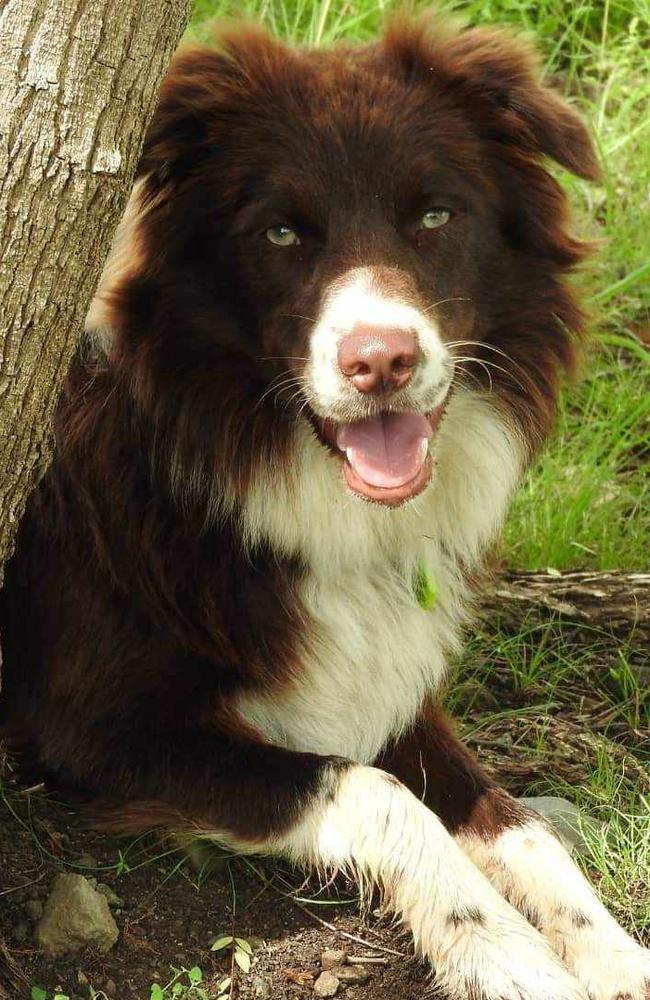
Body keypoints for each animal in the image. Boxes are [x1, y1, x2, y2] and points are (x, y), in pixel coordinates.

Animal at [1, 17, 648, 1000]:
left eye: (435, 216)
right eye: (279, 232)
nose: (379, 361)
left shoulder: (390, 680)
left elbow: (522, 828)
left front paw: (614, 956)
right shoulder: (94, 724)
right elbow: (376, 792)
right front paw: (507, 957)